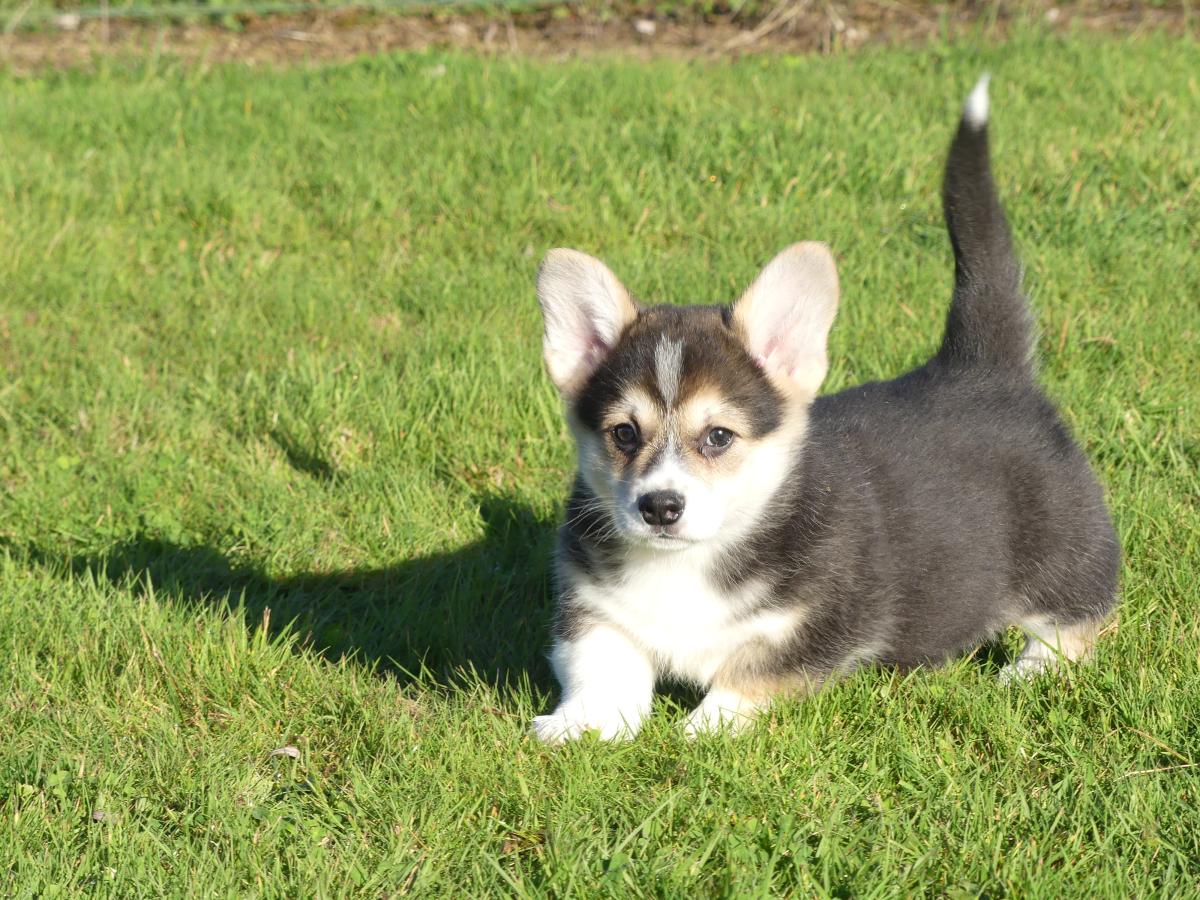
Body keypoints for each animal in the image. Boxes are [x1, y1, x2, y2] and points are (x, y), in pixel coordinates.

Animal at [530, 77, 1118, 744]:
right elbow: (599, 663)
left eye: (718, 437)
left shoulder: (818, 623)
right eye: (624, 434)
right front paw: (580, 725)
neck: (693, 561)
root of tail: (980, 364)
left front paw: (705, 729)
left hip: (1062, 550)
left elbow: (750, 671)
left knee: (1077, 617)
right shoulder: (590, 605)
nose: (659, 507)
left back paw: (1032, 668)